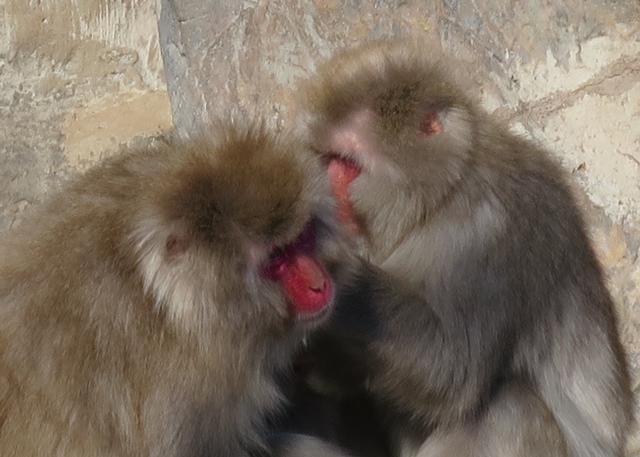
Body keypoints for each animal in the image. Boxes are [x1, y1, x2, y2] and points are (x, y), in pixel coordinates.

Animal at [298, 39, 632, 456]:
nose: (323, 190)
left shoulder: (486, 234)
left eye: (346, 164)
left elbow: (452, 366)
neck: (441, 195)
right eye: (326, 158)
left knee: (510, 409)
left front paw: (333, 266)